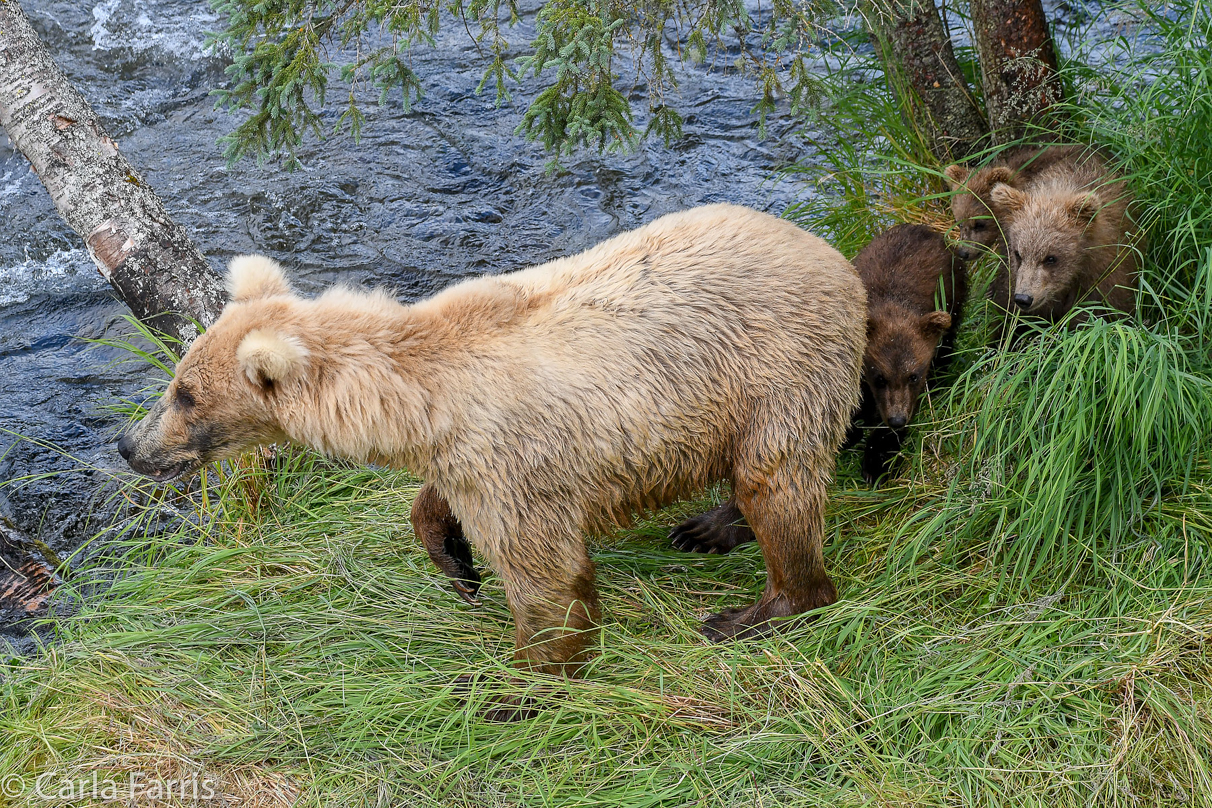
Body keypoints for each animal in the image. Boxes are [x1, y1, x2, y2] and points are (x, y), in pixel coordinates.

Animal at [118, 205, 867, 678]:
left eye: (184, 394)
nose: (129, 445)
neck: (418, 404)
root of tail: (834, 256)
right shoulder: (469, 457)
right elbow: (436, 505)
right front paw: (456, 563)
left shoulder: (513, 464)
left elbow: (546, 576)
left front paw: (520, 682)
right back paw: (708, 527)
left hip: (777, 371)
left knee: (776, 483)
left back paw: (754, 608)